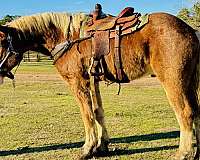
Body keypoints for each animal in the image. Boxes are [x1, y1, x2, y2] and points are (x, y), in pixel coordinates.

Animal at [0, 10, 198, 159]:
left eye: (1, 44)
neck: (65, 38)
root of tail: (190, 31)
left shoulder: (78, 82)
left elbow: (86, 115)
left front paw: (88, 149)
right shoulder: (93, 80)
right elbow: (98, 112)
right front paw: (102, 146)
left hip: (173, 81)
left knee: (185, 113)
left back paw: (184, 153)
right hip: (190, 80)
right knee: (196, 111)